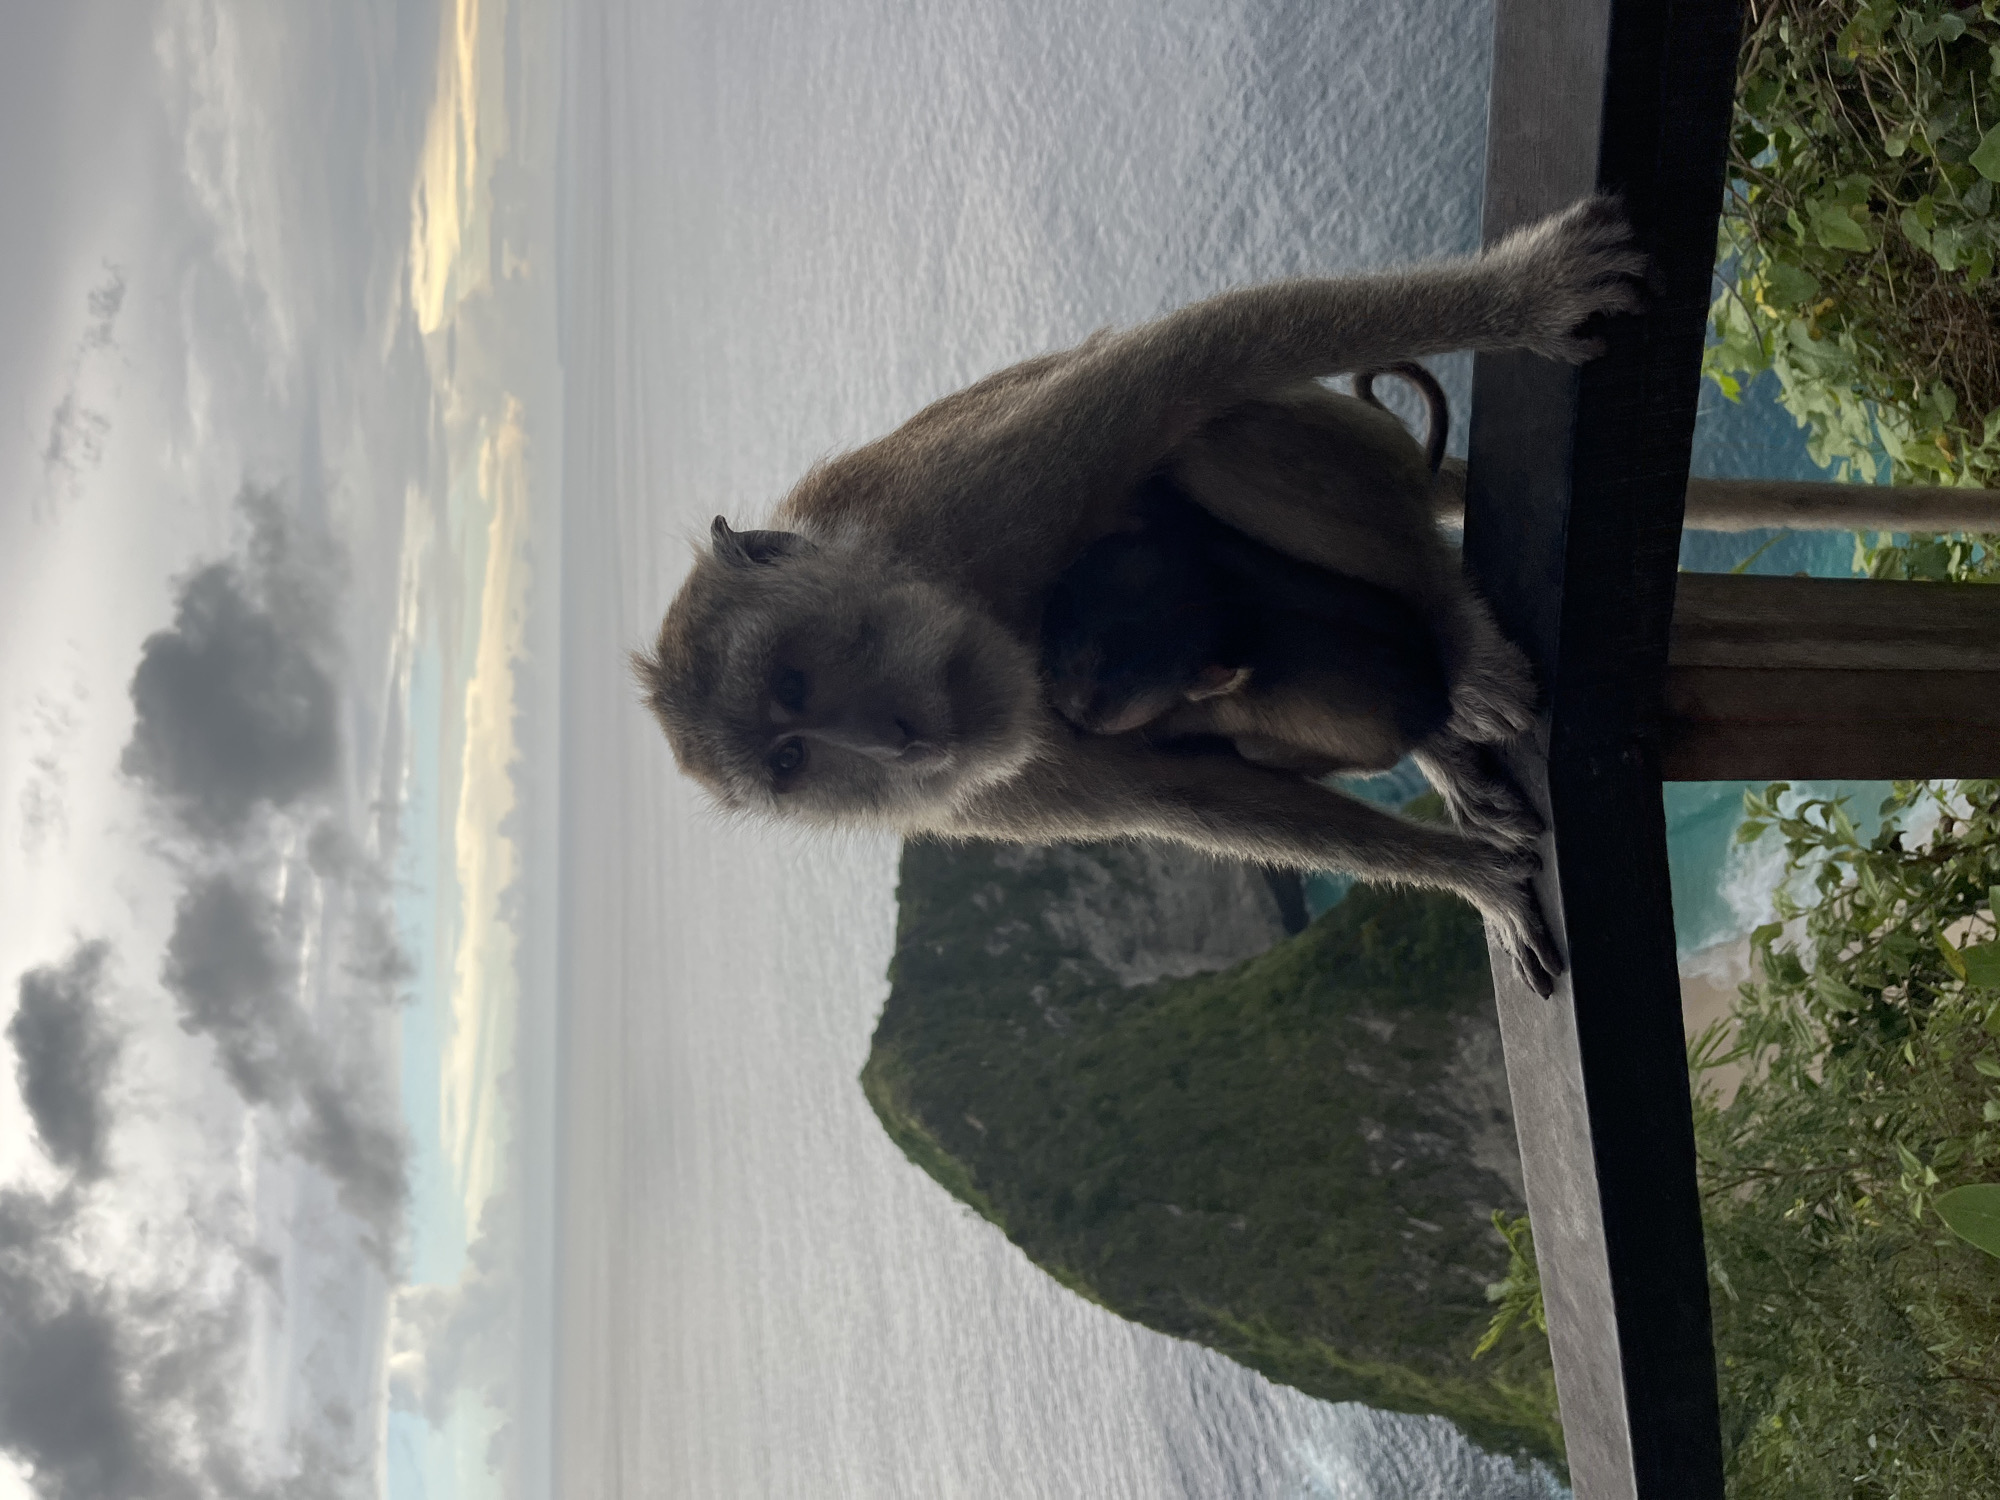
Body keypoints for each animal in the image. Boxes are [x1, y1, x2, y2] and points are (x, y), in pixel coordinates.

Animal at [635, 196, 1649, 996]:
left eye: (793, 687)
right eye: (791, 760)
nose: (886, 743)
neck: (972, 605)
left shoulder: (979, 496)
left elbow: (1182, 367)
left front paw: (1530, 293)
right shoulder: (986, 789)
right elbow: (1184, 797)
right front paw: (1470, 877)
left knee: (1211, 435)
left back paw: (1454, 628)